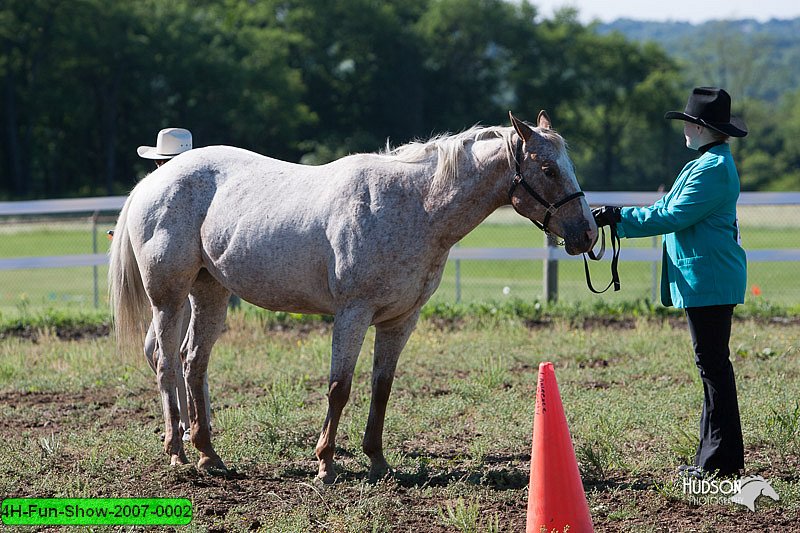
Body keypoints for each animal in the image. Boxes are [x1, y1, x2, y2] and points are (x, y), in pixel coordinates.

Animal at [109, 110, 596, 480]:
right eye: (548, 169)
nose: (587, 234)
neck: (414, 206)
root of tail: (155, 180)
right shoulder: (352, 313)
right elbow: (339, 387)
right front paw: (326, 463)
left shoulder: (400, 321)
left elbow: (381, 388)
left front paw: (377, 461)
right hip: (168, 298)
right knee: (168, 362)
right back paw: (178, 452)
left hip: (209, 292)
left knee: (194, 362)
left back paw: (209, 453)